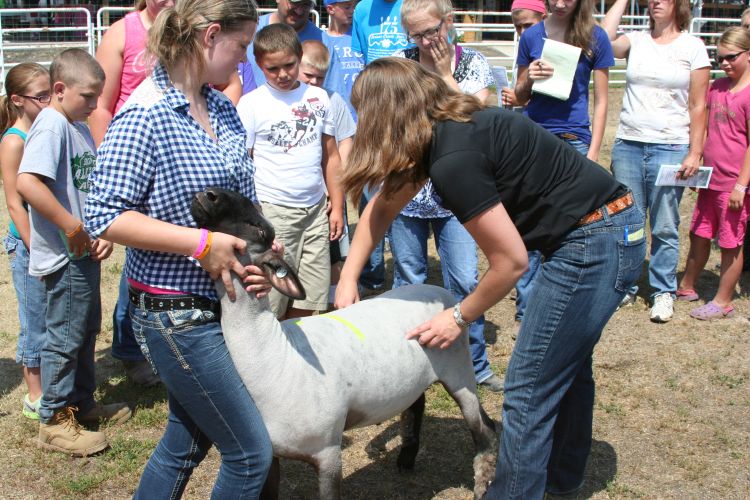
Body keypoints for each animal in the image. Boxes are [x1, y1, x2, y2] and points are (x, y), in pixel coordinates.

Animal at [191, 186, 502, 498]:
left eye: (258, 227)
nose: (209, 194)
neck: (275, 353)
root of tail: (442, 293)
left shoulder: (328, 453)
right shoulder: (271, 456)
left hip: (459, 370)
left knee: (484, 429)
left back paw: (481, 486)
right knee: (416, 406)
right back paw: (406, 460)